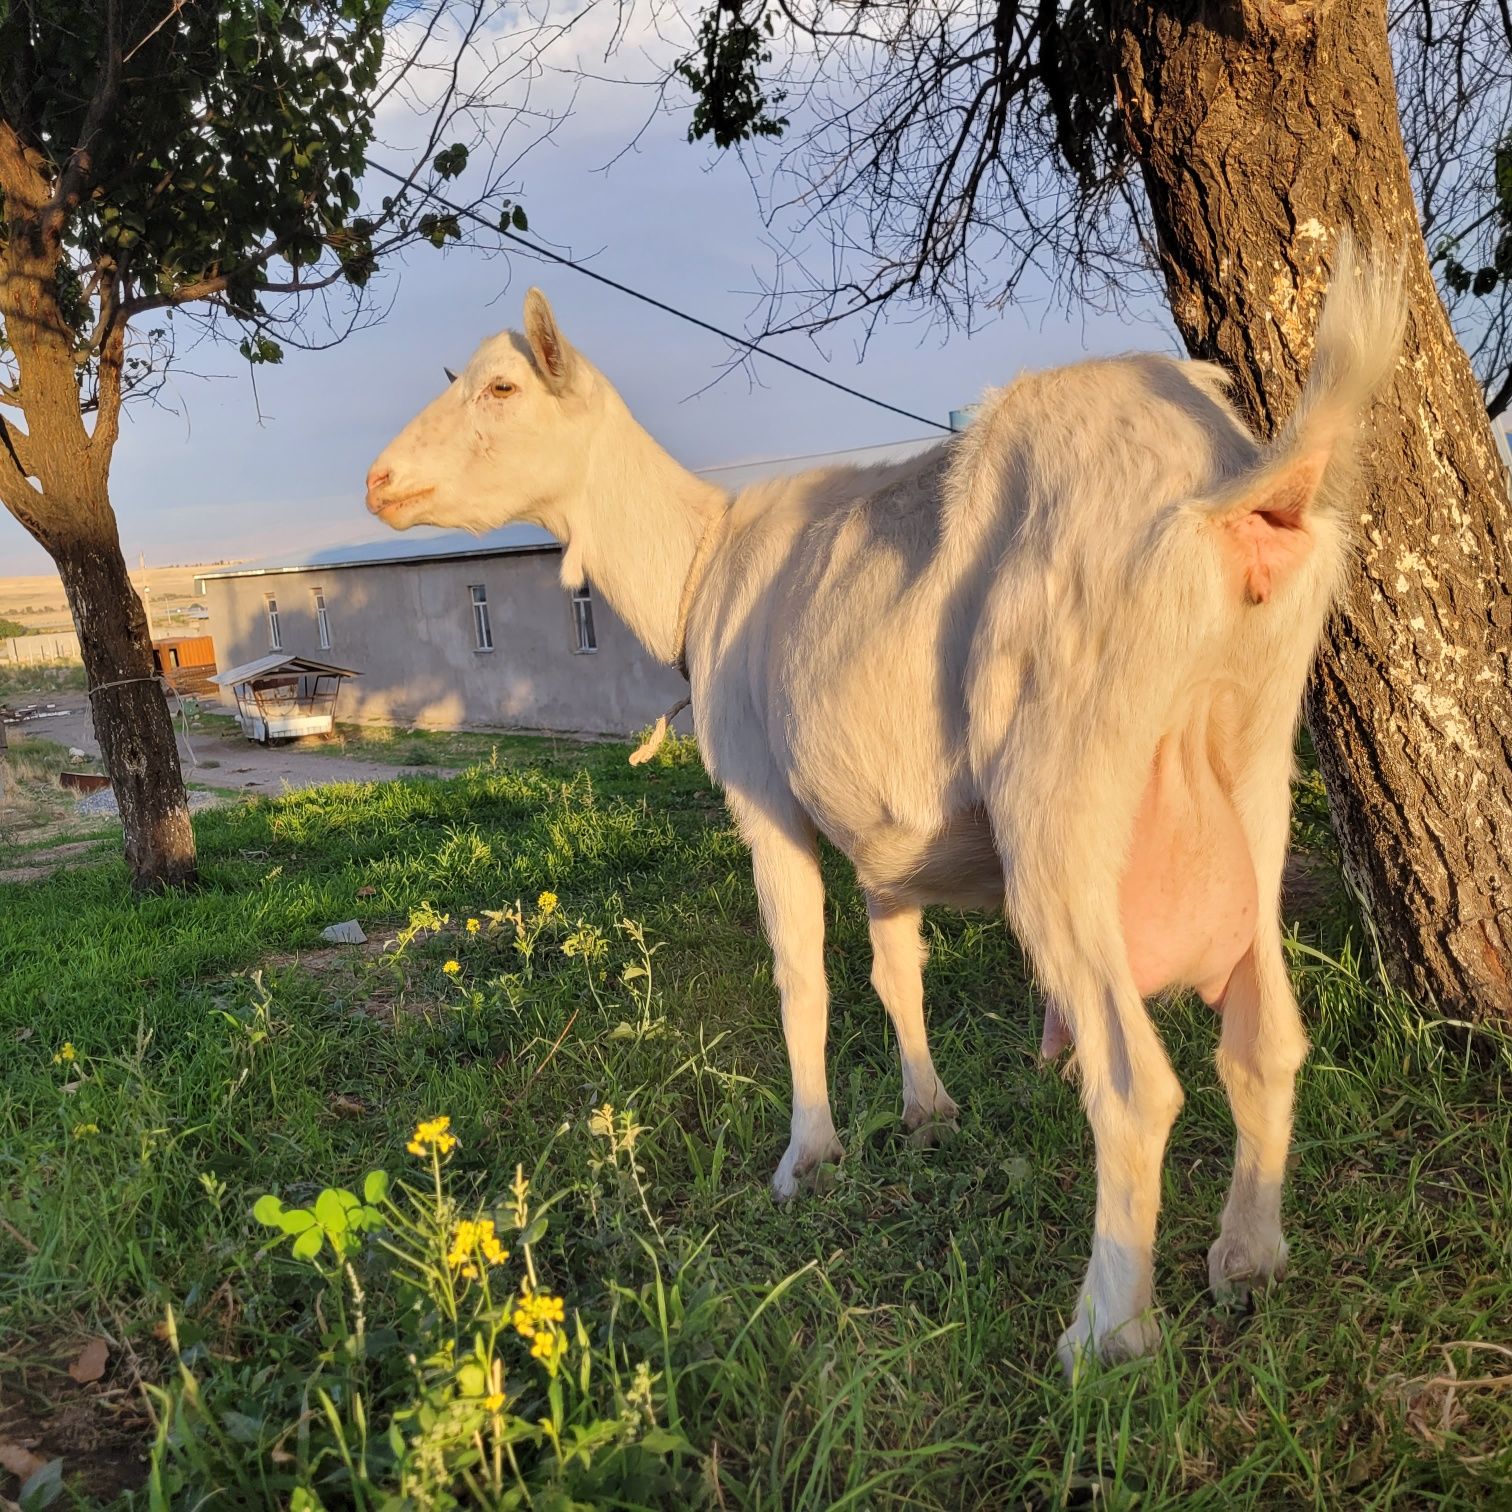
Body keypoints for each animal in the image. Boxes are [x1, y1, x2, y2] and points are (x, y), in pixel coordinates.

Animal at [365, 250, 1403, 1372]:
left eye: (501, 389)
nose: (379, 482)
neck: (699, 565)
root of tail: (1237, 486)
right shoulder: (881, 833)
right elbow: (895, 972)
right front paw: (926, 1111)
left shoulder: (764, 794)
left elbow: (803, 980)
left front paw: (807, 1157)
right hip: (1251, 759)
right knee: (1265, 1039)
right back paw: (1248, 1259)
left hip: (1062, 776)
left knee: (1135, 1083)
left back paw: (1104, 1332)